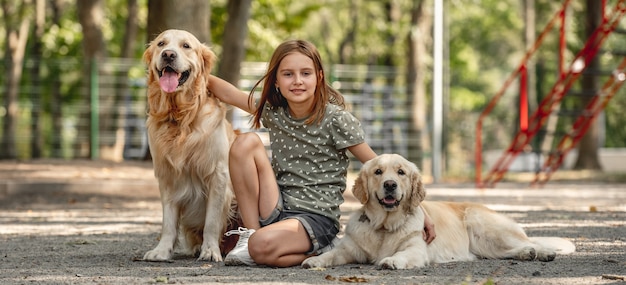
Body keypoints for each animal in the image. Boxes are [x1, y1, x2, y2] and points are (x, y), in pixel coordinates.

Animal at [142, 30, 236, 260]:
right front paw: (162, 250)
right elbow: (168, 222)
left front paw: (210, 250)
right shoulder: (167, 176)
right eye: (161, 44)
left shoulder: (218, 174)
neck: (180, 118)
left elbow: (211, 221)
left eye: (186, 46)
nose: (168, 54)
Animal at [302, 153, 576, 268]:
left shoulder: (416, 249)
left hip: (482, 224)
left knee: (529, 241)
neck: (384, 226)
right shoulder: (349, 249)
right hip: (483, 247)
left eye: (401, 172)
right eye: (378, 172)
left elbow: (402, 255)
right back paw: (527, 254)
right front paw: (314, 260)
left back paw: (541, 252)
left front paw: (391, 260)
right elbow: (332, 254)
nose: (390, 185)